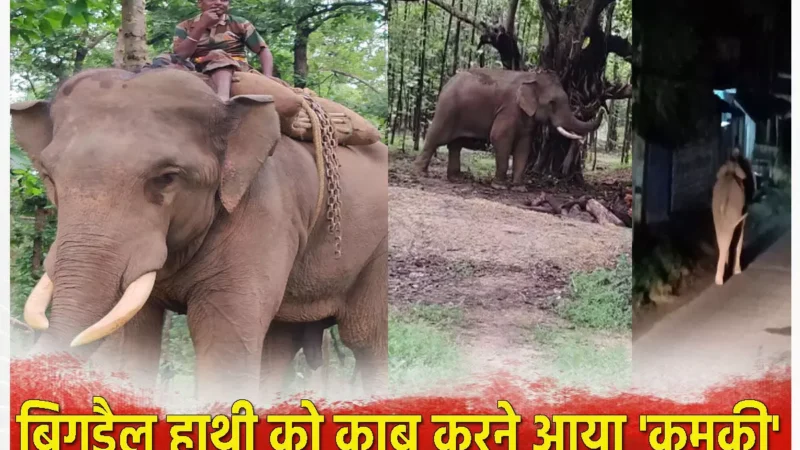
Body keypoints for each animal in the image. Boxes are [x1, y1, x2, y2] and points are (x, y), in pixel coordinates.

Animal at [10, 67, 388, 402]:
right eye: (49, 175)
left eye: (166, 177)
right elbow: (134, 338)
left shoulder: (265, 210)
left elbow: (226, 343)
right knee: (279, 341)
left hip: (375, 253)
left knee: (366, 340)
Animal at [412, 68, 604, 190]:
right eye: (552, 103)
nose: (602, 108)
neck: (532, 77)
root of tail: (447, 82)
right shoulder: (509, 108)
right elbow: (499, 137)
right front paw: (500, 185)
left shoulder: (526, 119)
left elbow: (524, 146)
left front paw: (520, 188)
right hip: (447, 108)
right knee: (436, 136)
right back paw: (421, 173)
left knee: (455, 145)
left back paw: (456, 178)